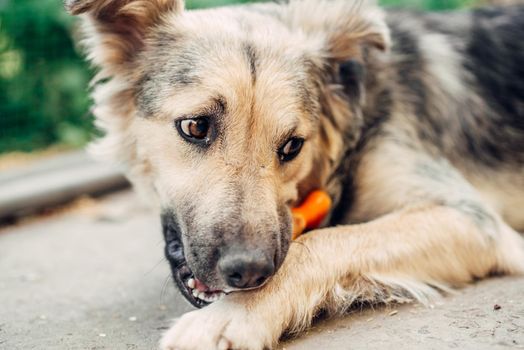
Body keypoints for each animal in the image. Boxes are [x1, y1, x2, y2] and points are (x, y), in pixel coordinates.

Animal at [65, 0, 524, 348]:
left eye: (292, 146)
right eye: (195, 126)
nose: (249, 272)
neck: (358, 118)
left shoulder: (469, 218)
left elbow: (322, 242)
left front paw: (233, 316)